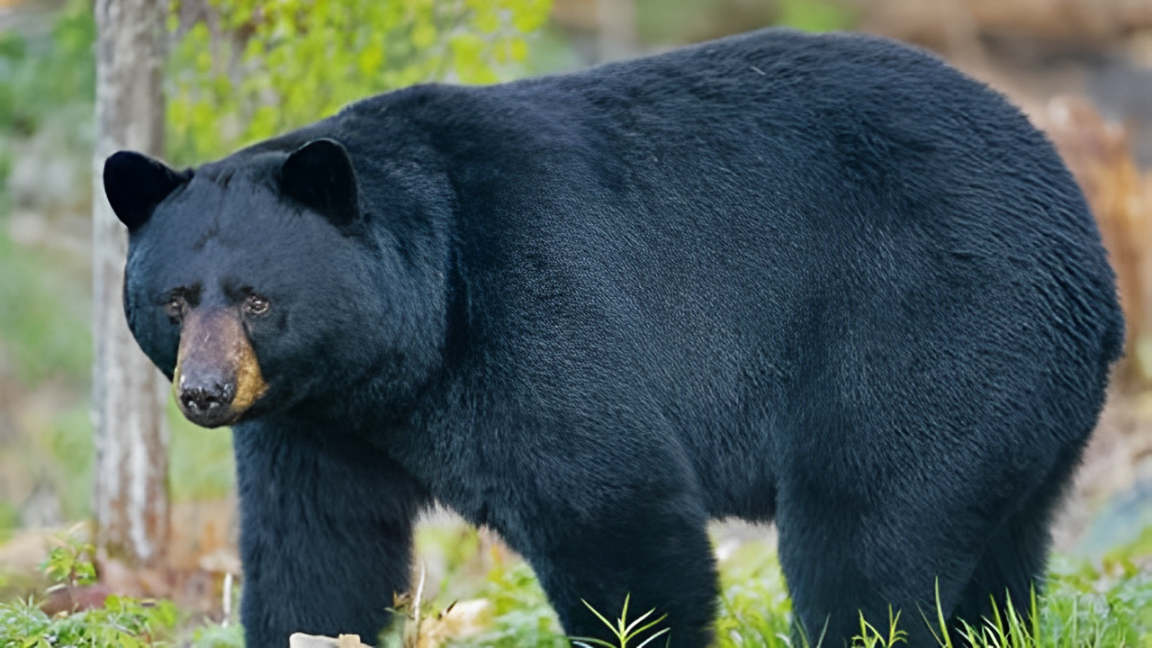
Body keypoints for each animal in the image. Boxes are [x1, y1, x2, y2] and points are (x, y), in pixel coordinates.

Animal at [105, 27, 1115, 645]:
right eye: (175, 301)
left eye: (256, 300)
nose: (204, 393)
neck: (404, 349)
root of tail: (1089, 259)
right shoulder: (315, 419)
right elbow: (317, 554)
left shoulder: (529, 308)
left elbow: (612, 506)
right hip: (1018, 397)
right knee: (999, 556)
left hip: (928, 334)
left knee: (866, 538)